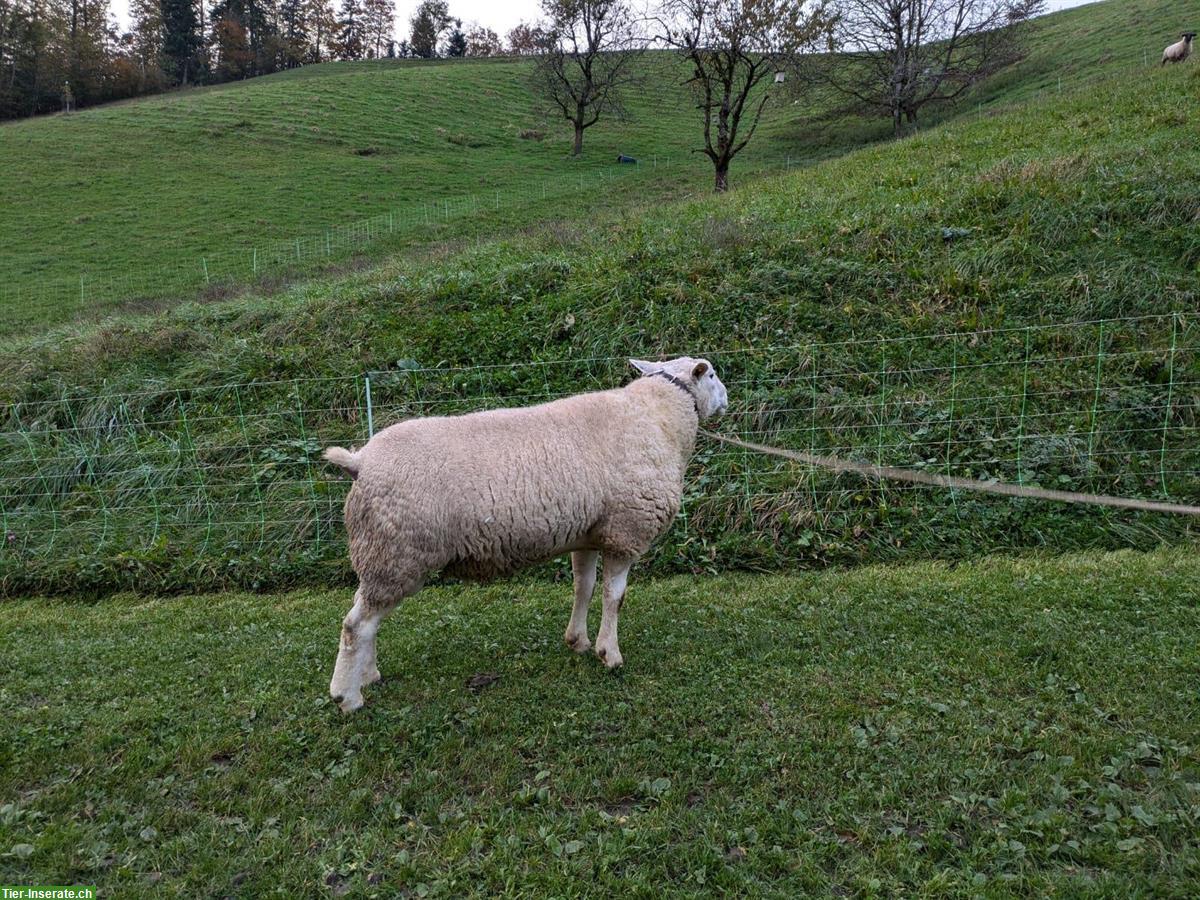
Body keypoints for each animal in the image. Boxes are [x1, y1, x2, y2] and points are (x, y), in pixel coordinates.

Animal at [324, 355, 724, 715]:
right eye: (712, 374)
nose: (727, 398)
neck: (659, 415)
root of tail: (360, 462)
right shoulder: (626, 531)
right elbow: (615, 598)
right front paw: (609, 653)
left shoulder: (589, 535)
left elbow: (584, 586)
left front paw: (577, 640)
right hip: (397, 551)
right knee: (355, 625)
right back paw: (348, 697)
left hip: (383, 552)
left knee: (368, 619)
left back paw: (368, 675)